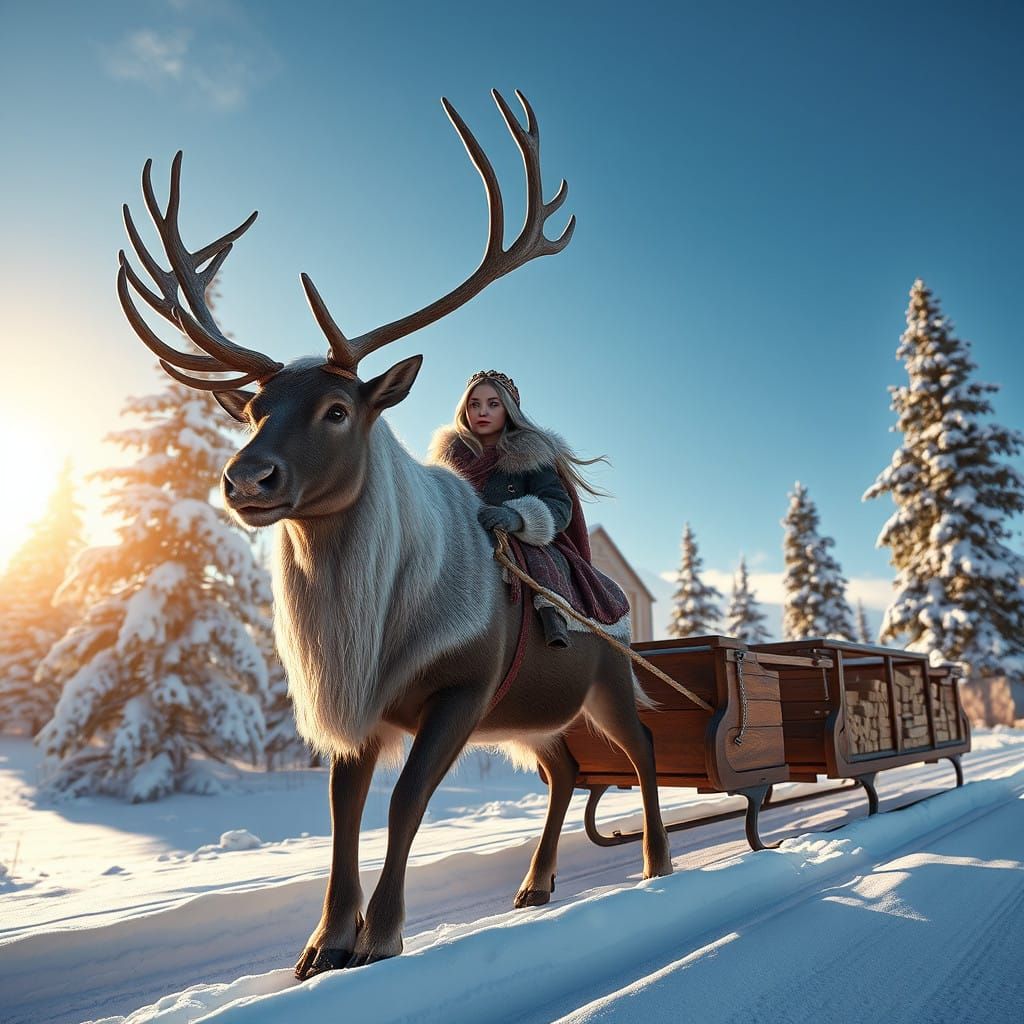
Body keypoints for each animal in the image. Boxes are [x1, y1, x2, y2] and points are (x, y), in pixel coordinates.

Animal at [116, 90, 673, 977]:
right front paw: (321, 946)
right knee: (564, 770)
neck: (370, 630)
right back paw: (535, 885)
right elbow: (342, 809)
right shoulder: (356, 700)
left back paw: (657, 862)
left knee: (643, 748)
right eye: (252, 407)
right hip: (533, 715)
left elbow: (407, 798)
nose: (245, 479)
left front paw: (380, 936)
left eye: (339, 408)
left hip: (606, 681)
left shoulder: (466, 684)